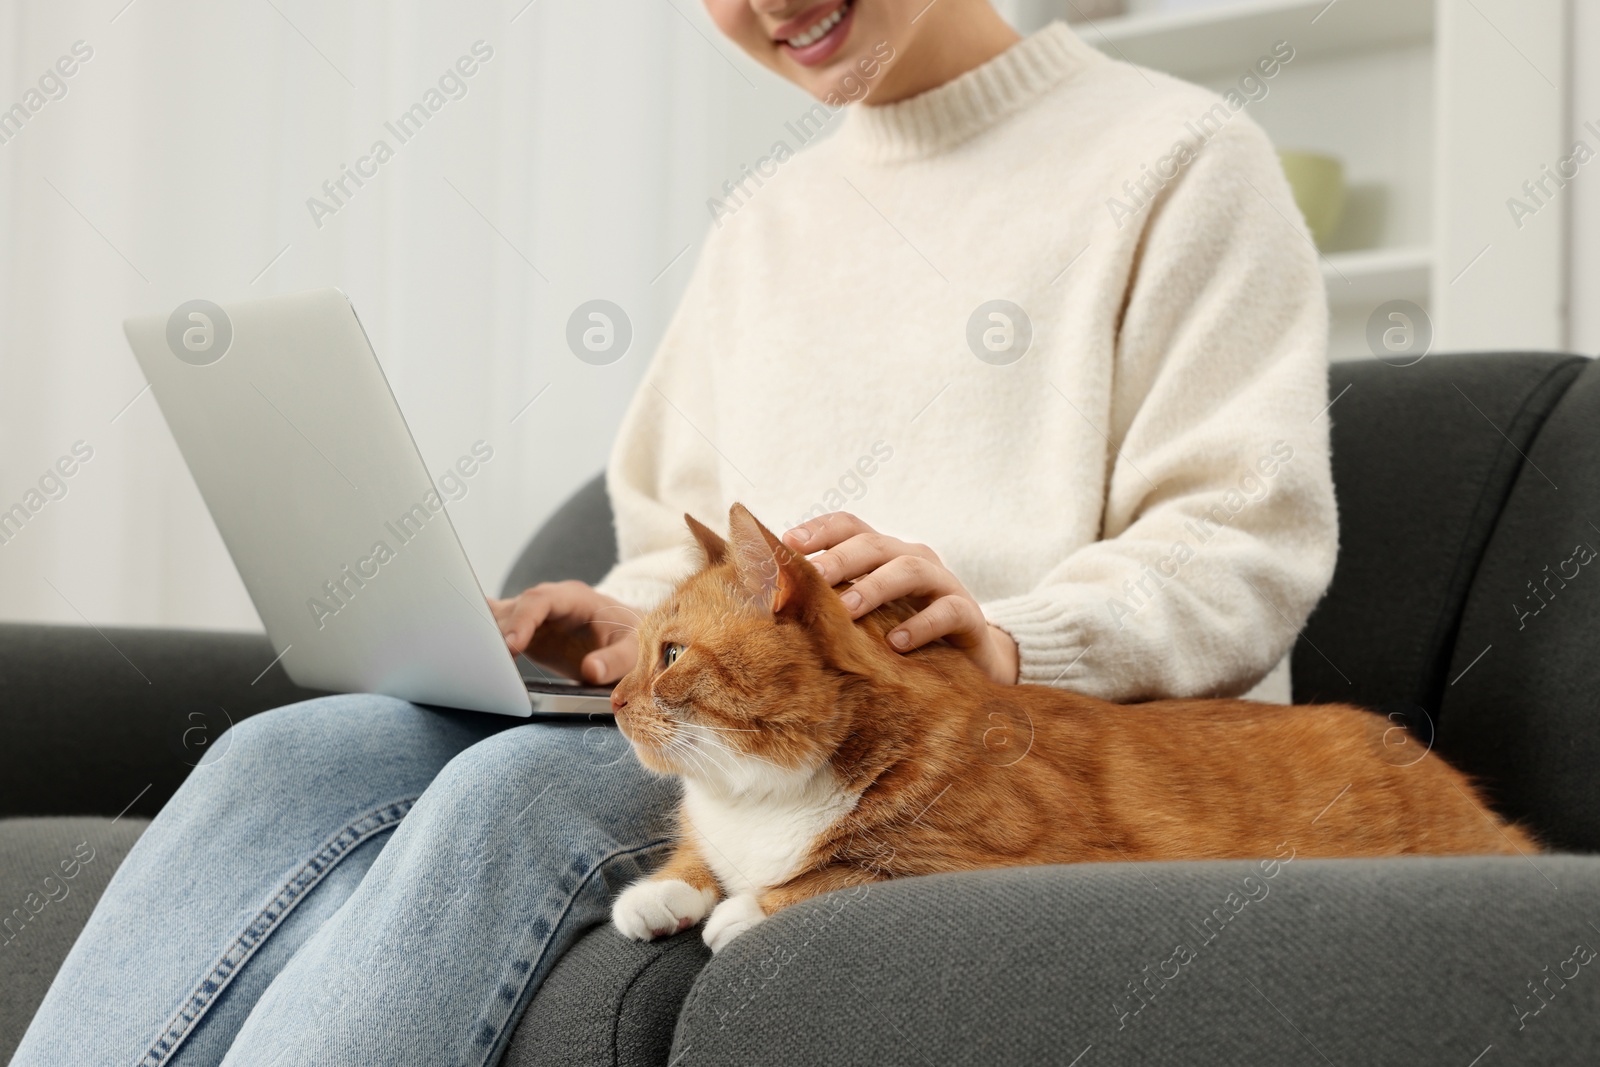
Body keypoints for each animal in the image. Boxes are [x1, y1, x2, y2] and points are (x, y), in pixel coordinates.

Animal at [604, 505, 1529, 953]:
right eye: (632, 650)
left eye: (671, 654)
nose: (610, 699)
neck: (754, 800)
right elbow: (696, 859)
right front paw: (664, 892)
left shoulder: (995, 856)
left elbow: (846, 869)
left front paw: (744, 908)